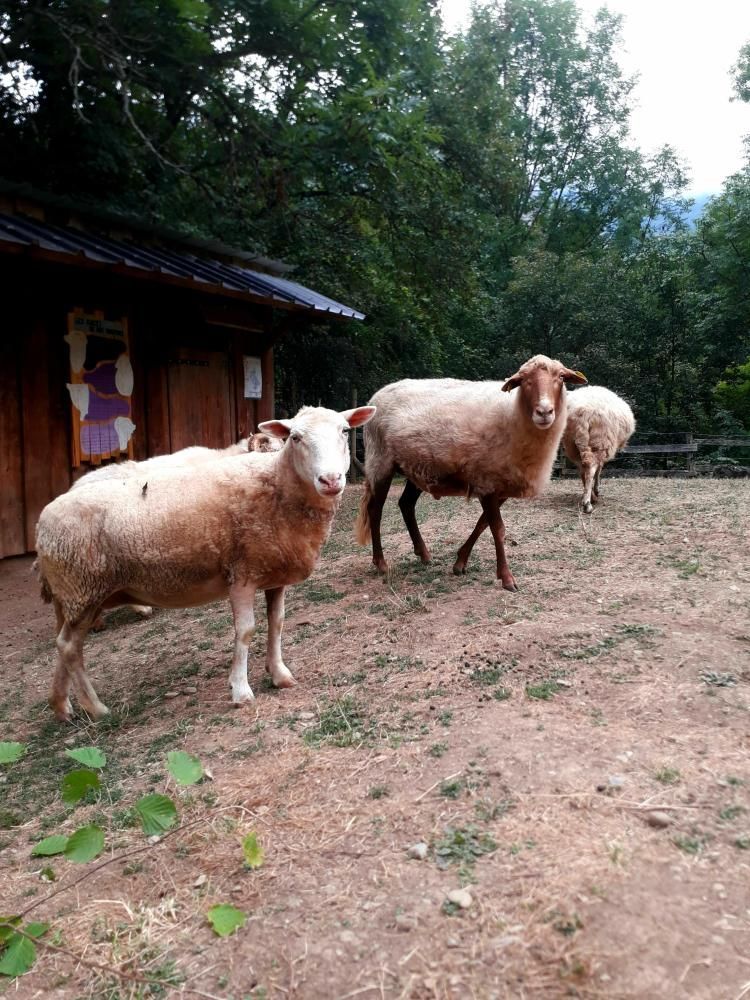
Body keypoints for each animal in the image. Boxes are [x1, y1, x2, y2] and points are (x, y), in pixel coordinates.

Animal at [35, 404, 375, 722]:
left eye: (345, 431)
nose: (330, 480)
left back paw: (61, 706)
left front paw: (280, 674)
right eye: (295, 437)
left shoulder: (274, 571)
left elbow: (277, 622)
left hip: (76, 596)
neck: (276, 482)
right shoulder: (242, 572)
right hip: (84, 589)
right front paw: (240, 691)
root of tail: (42, 523)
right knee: (69, 646)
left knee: (63, 644)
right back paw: (96, 708)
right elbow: (246, 631)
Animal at [355, 355, 587, 589]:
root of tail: (376, 396)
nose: (544, 412)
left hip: (416, 468)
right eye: (524, 380)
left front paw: (460, 562)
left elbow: (482, 523)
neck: (513, 414)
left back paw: (424, 555)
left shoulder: (499, 486)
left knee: (406, 504)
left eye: (560, 377)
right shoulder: (486, 482)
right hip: (380, 461)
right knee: (375, 510)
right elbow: (497, 529)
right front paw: (506, 578)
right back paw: (381, 563)